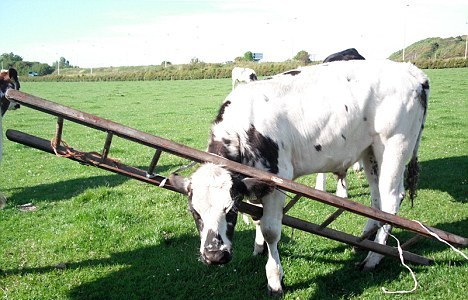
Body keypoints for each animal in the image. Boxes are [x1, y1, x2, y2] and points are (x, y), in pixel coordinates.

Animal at [170, 60, 430, 296]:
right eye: (194, 212)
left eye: (231, 209)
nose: (214, 255)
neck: (244, 128)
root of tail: (412, 71)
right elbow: (257, 219)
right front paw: (258, 248)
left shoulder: (276, 180)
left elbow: (271, 230)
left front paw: (275, 279)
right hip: (370, 151)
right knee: (376, 200)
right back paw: (366, 239)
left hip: (394, 145)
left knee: (391, 200)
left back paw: (373, 258)